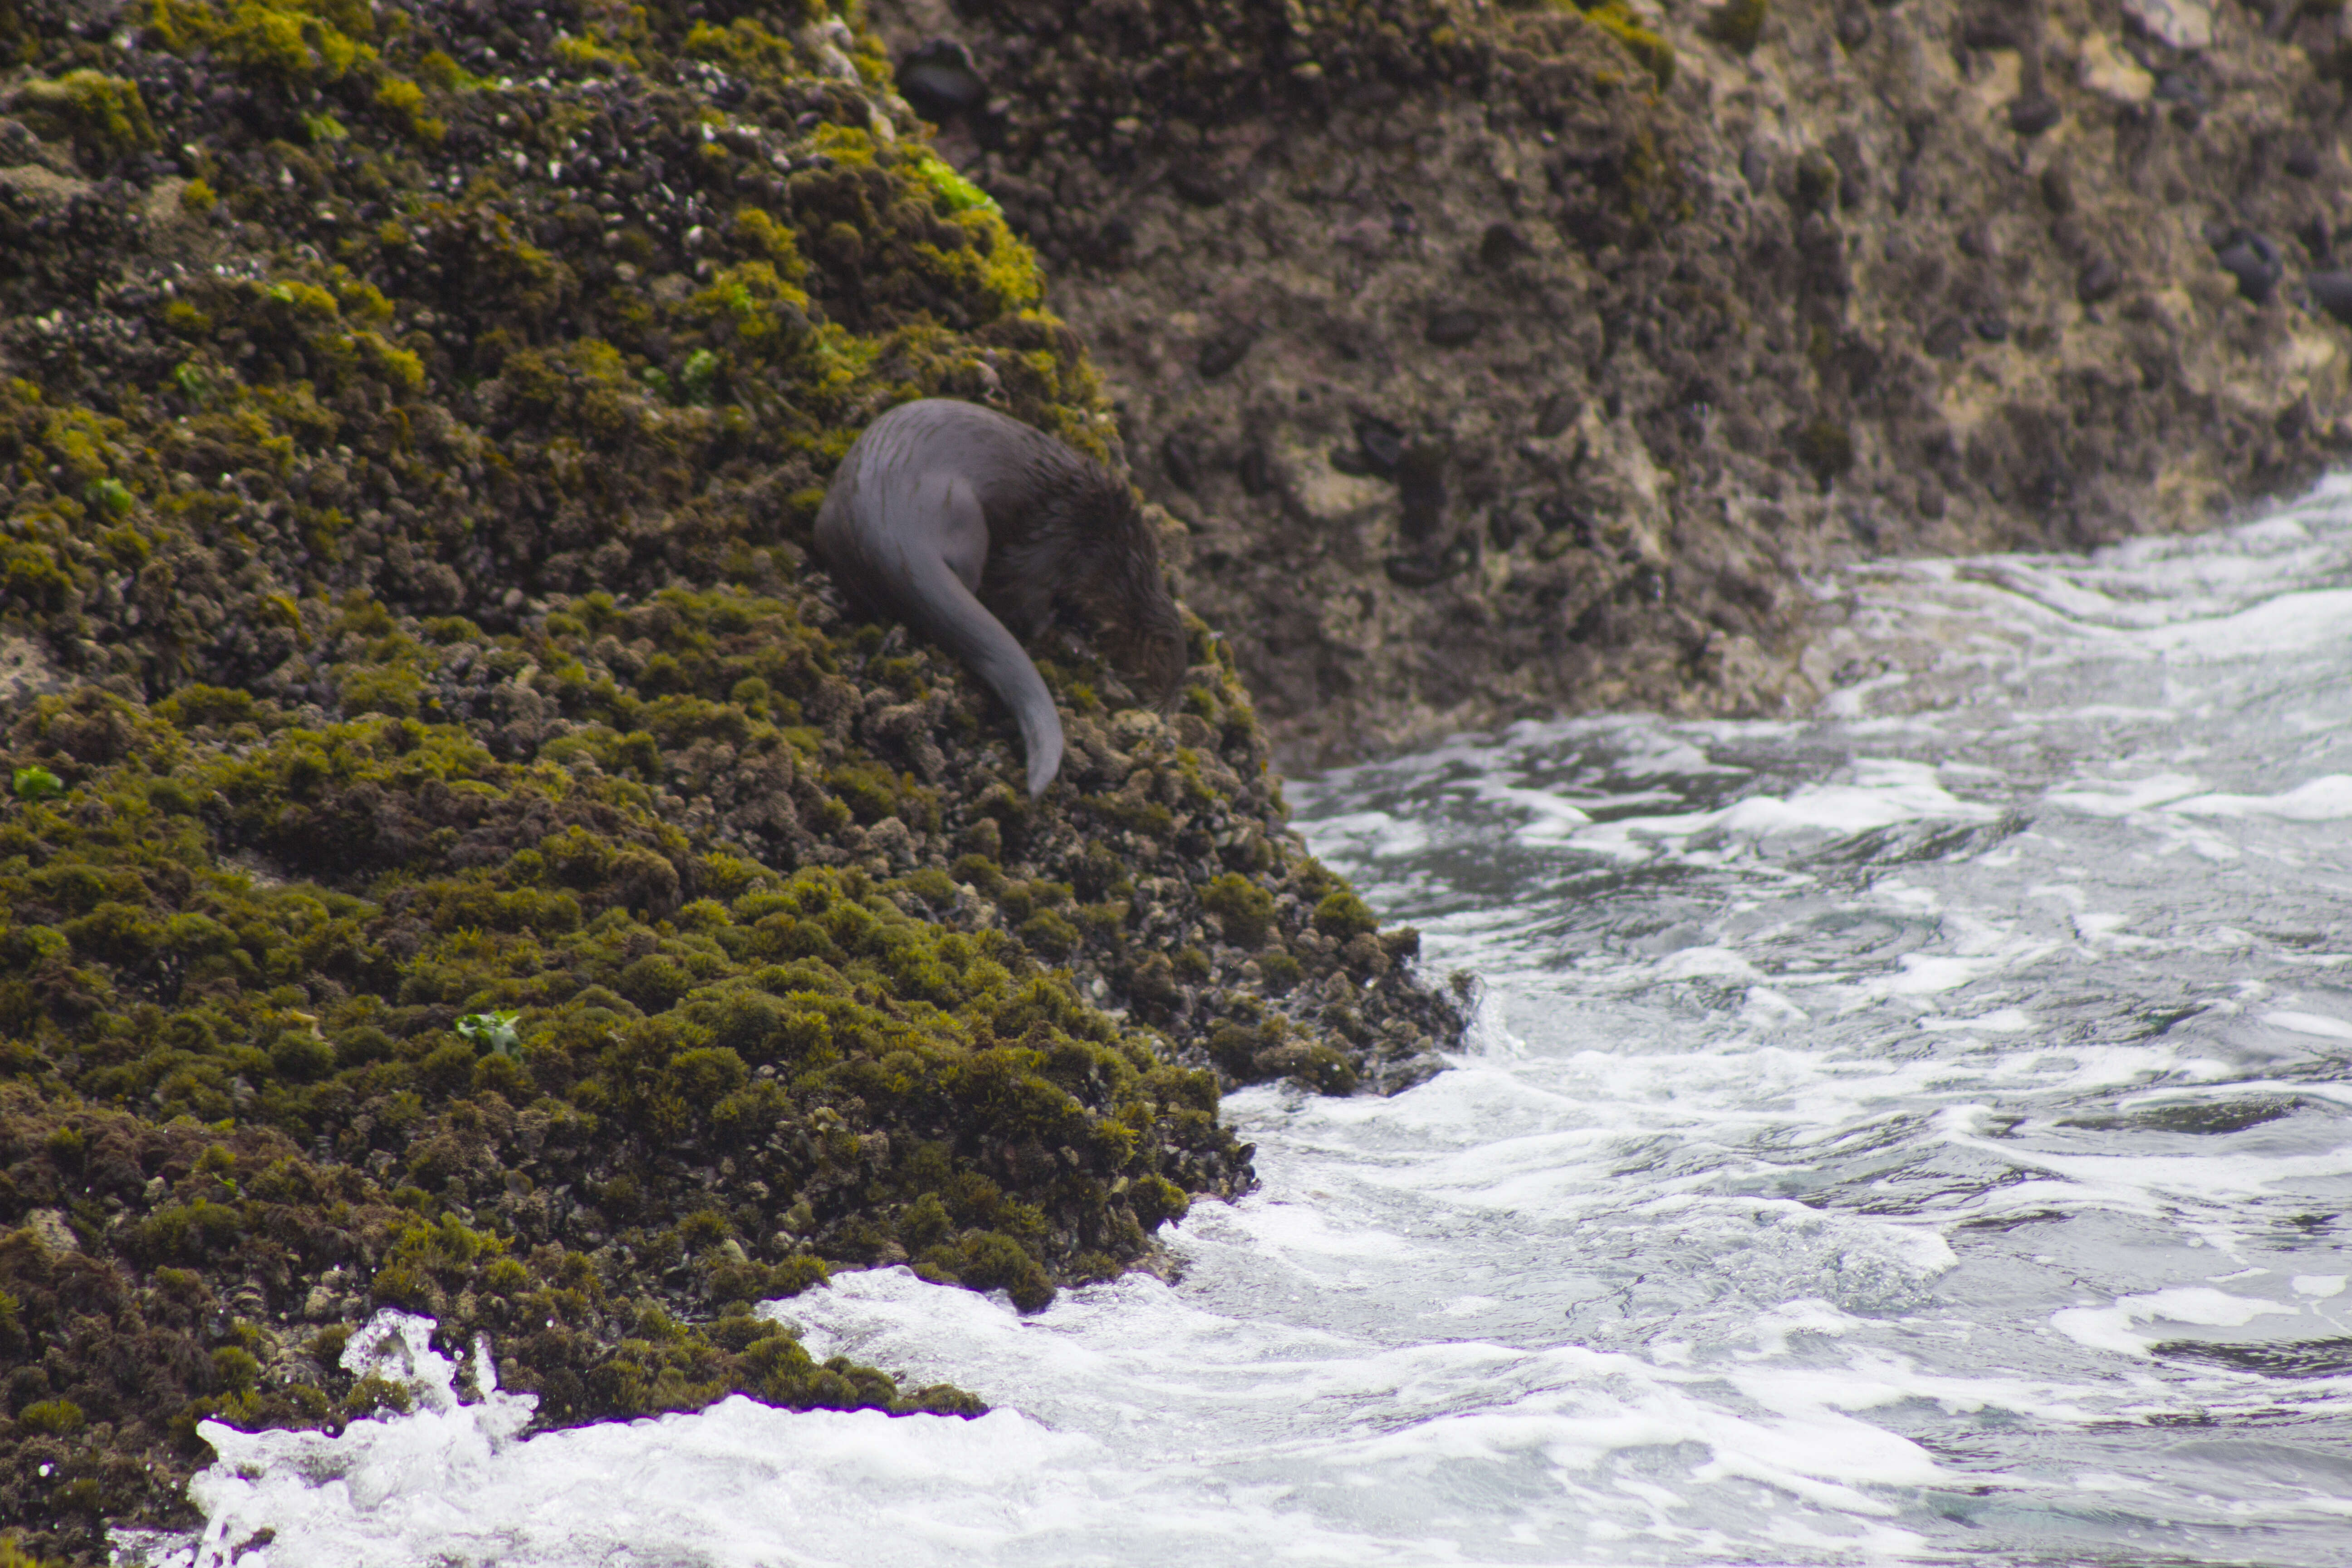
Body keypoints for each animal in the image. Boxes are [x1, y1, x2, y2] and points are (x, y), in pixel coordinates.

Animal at [813, 399, 1185, 804]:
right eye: (1172, 664)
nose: (1173, 704)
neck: (1111, 555)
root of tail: (889, 528)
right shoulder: (1061, 547)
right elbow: (1028, 603)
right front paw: (1082, 643)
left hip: (833, 522)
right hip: (964, 517)